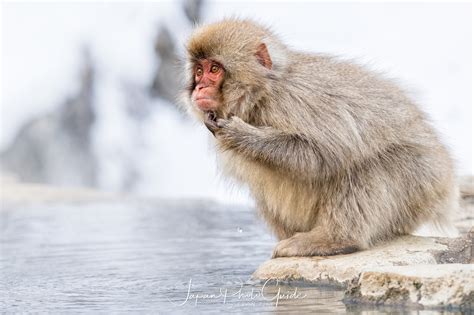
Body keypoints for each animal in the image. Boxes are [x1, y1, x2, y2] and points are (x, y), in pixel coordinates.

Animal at [182, 18, 460, 258]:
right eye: (198, 71)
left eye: (214, 69)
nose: (200, 87)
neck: (262, 94)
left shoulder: (294, 100)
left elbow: (324, 153)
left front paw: (241, 134)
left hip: (419, 183)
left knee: (362, 166)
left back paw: (335, 239)